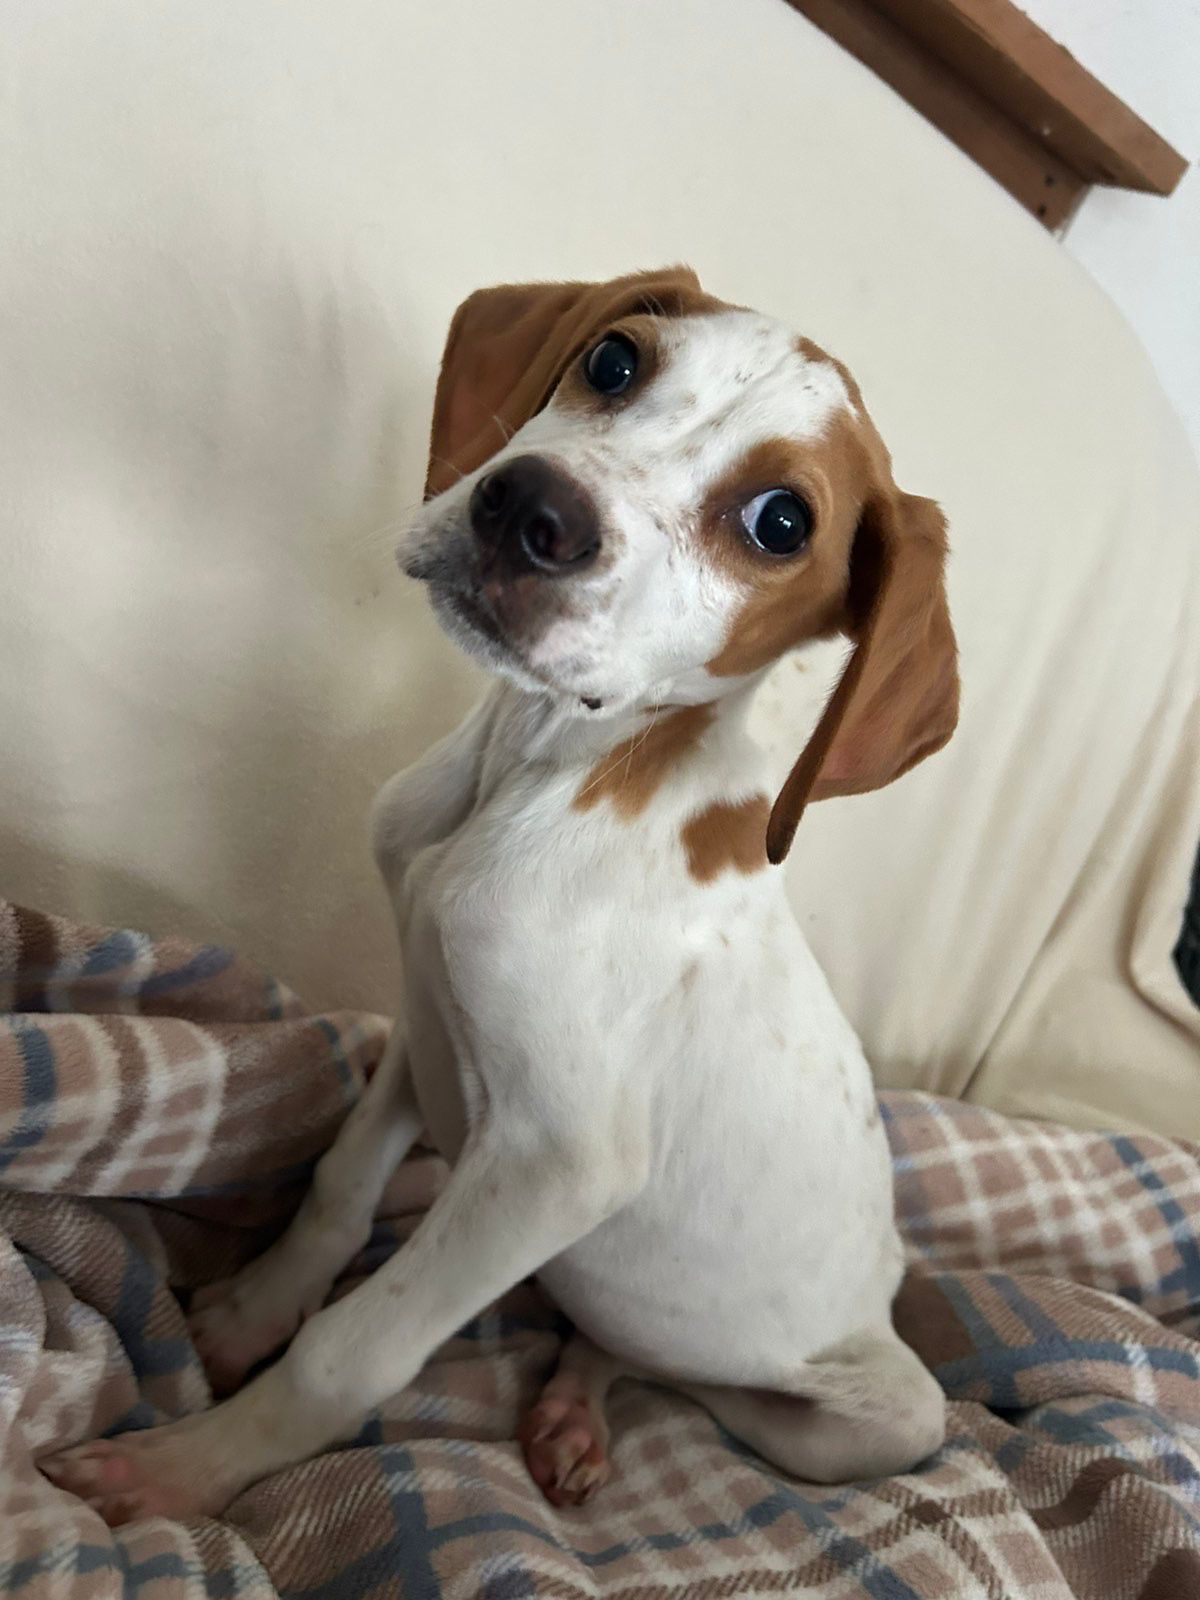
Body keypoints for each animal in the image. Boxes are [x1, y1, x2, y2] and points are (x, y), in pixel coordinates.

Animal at [42, 266, 958, 1522]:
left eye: (781, 522)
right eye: (614, 361)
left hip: (877, 1416)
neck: (537, 771)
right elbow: (337, 1185)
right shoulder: (426, 1010)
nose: (530, 508)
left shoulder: (556, 1162)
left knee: (683, 1371)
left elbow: (355, 1348)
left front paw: (184, 1466)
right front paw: (247, 1313)